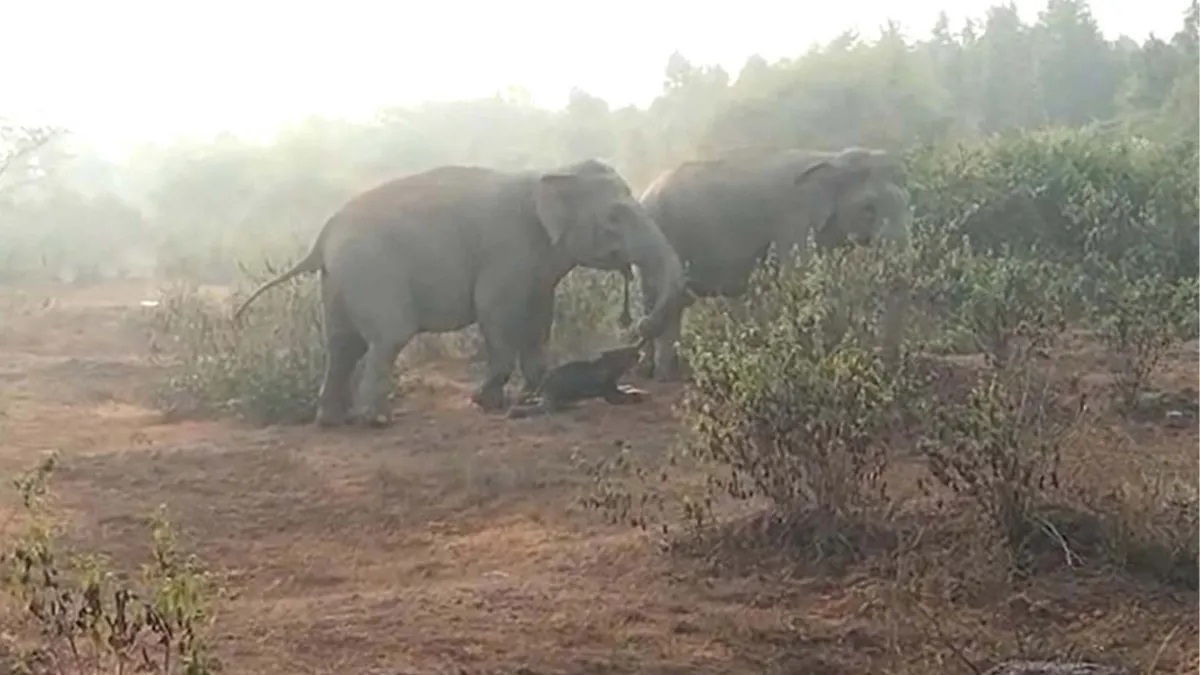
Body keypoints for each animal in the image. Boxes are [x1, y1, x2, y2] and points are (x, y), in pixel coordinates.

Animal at [232, 159, 688, 427]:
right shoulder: (507, 249)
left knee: (342, 344)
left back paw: (331, 420)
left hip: (340, 279)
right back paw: (375, 420)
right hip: (371, 271)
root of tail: (322, 237)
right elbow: (497, 313)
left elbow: (539, 317)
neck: (551, 171)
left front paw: (532, 391)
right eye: (616, 216)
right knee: (387, 337)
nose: (637, 324)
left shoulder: (538, 264)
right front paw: (488, 402)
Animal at [632, 146, 913, 381]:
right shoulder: (793, 223)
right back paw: (661, 375)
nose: (890, 367)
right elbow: (798, 278)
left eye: (907, 202)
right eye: (868, 209)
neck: (832, 158)